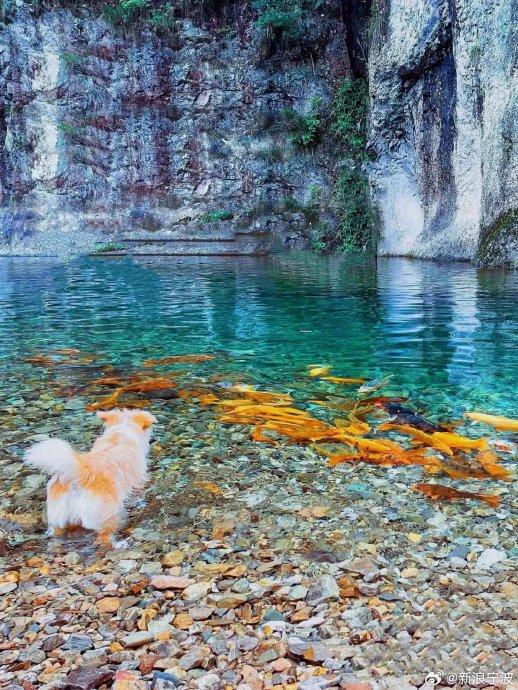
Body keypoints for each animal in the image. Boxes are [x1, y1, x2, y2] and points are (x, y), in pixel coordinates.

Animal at [23, 408, 156, 544]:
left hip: (57, 520)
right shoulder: (138, 483)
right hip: (107, 517)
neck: (121, 430)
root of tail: (78, 478)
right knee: (103, 538)